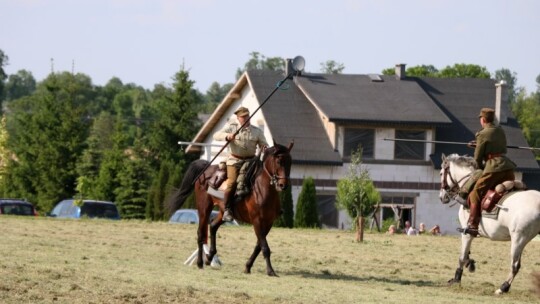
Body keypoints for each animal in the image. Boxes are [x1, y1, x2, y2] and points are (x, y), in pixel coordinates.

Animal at [171, 141, 294, 276]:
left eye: (290, 162)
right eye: (279, 161)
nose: (283, 185)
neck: (263, 190)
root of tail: (206, 171)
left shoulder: (268, 222)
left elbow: (258, 246)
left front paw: (248, 266)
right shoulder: (257, 221)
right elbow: (265, 247)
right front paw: (270, 270)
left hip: (223, 211)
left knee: (213, 226)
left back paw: (209, 257)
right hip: (204, 208)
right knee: (201, 234)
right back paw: (200, 262)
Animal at [438, 153, 540, 294]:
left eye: (441, 173)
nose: (442, 197)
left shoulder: (467, 232)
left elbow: (462, 256)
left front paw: (456, 279)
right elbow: (466, 254)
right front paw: (470, 263)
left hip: (519, 239)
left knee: (515, 265)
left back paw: (503, 288)